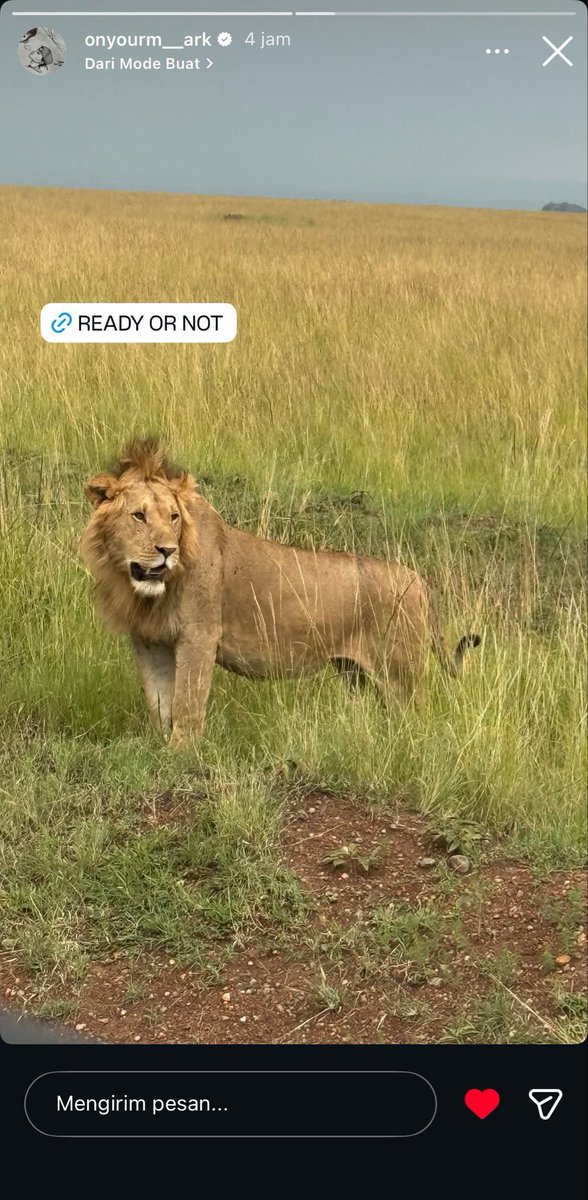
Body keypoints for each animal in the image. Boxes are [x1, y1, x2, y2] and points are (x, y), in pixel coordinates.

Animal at [81, 439, 480, 747]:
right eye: (138, 516)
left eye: (173, 517)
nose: (167, 550)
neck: (143, 590)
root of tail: (417, 580)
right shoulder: (149, 641)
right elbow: (159, 702)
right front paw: (162, 747)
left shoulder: (199, 635)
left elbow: (187, 703)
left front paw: (181, 753)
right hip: (355, 672)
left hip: (399, 671)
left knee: (416, 717)